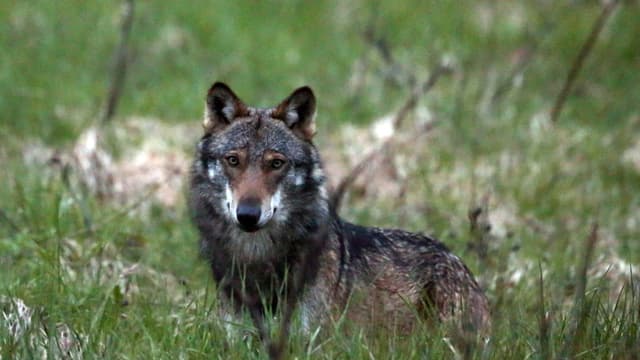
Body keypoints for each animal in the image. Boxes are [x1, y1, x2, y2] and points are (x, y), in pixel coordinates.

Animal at [189, 82, 490, 344]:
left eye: (276, 163)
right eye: (233, 160)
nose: (248, 214)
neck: (258, 256)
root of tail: (458, 261)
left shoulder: (311, 341)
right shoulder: (237, 337)